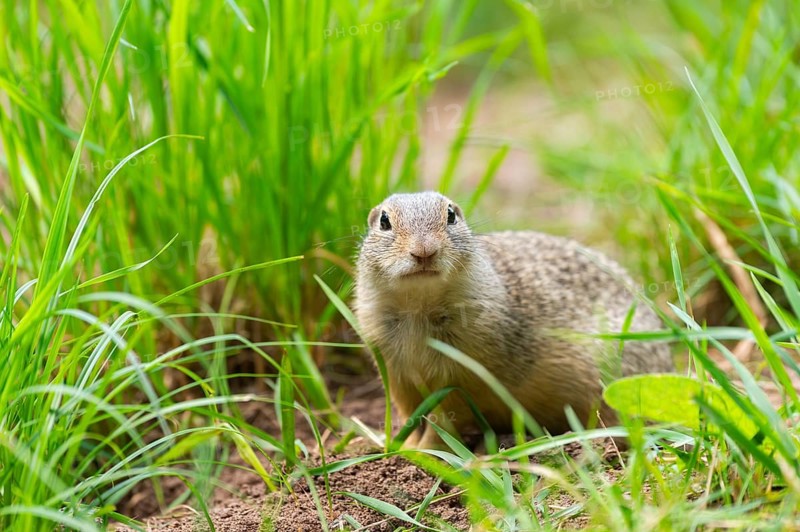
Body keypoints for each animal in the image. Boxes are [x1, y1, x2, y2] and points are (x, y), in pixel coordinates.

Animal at [354, 191, 673, 448]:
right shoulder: (393, 368)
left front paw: (427, 453)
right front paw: (400, 448)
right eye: (384, 221)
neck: (419, 308)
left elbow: (444, 419)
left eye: (451, 215)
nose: (424, 251)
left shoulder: (465, 373)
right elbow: (410, 413)